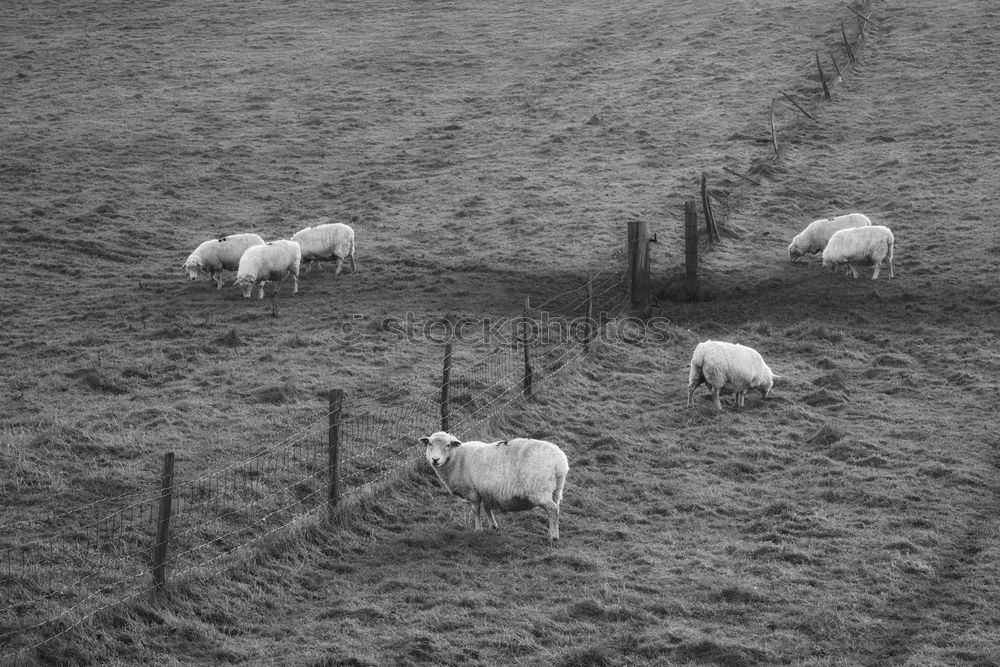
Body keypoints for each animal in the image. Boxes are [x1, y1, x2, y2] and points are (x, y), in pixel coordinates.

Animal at [422, 430, 572, 544]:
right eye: (430, 444)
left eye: (448, 445)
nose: (435, 460)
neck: (458, 458)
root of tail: (560, 462)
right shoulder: (486, 491)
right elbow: (487, 508)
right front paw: (493, 526)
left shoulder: (473, 491)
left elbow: (476, 510)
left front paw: (478, 529)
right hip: (556, 490)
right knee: (555, 509)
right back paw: (552, 532)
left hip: (539, 490)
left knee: (552, 510)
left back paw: (553, 537)